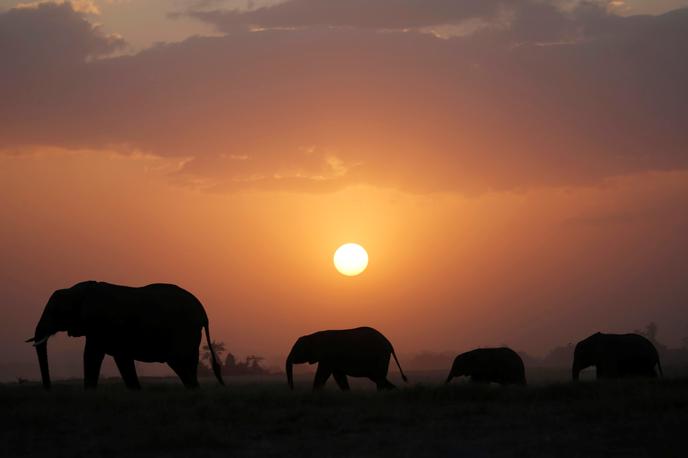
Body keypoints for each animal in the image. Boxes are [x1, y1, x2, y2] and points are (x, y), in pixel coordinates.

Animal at [26, 280, 226, 390]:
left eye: (54, 311)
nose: (48, 389)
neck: (77, 290)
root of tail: (203, 313)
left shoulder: (101, 324)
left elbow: (98, 355)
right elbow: (99, 355)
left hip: (183, 330)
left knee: (179, 362)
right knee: (189, 365)